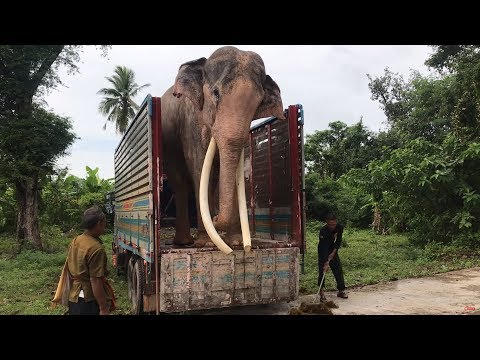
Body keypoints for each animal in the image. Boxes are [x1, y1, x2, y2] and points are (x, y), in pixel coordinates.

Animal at [161, 45, 284, 252]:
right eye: (216, 93)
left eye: (258, 103)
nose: (216, 217)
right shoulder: (191, 122)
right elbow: (199, 167)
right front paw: (206, 243)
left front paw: (235, 242)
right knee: (180, 183)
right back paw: (185, 242)